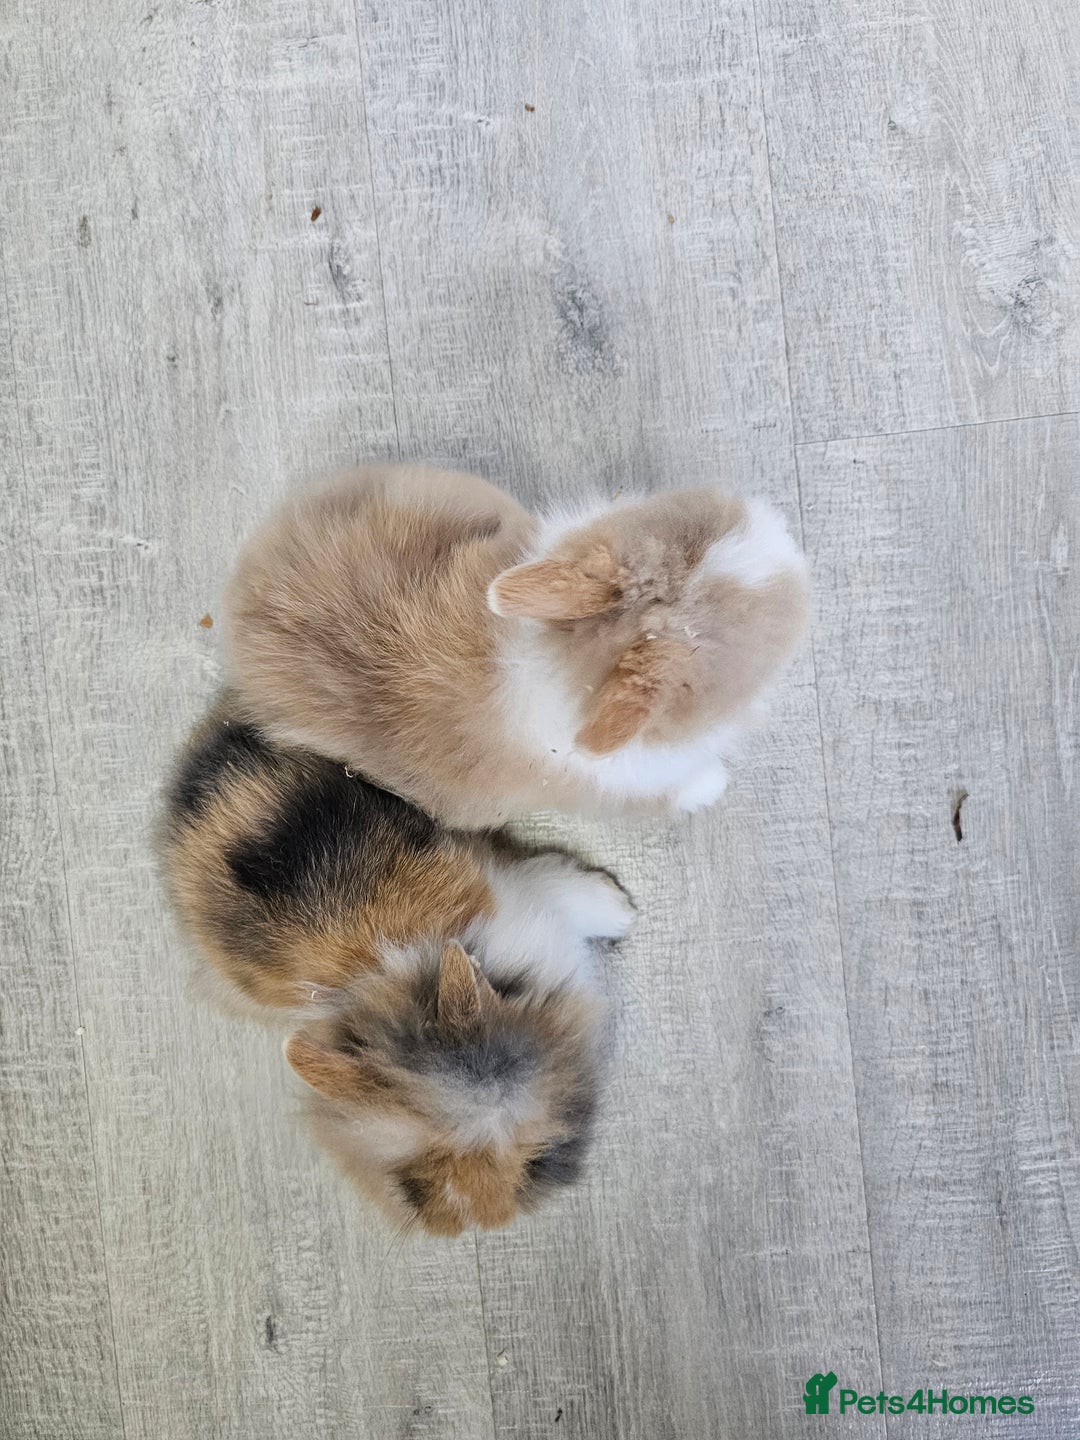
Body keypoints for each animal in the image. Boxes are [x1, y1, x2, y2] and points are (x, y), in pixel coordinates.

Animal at [162, 696, 634, 1237]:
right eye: (413, 1185)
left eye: (537, 1159)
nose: (483, 1222)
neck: (395, 978)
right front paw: (625, 911)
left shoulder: (520, 886)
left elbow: (565, 885)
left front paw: (623, 911)